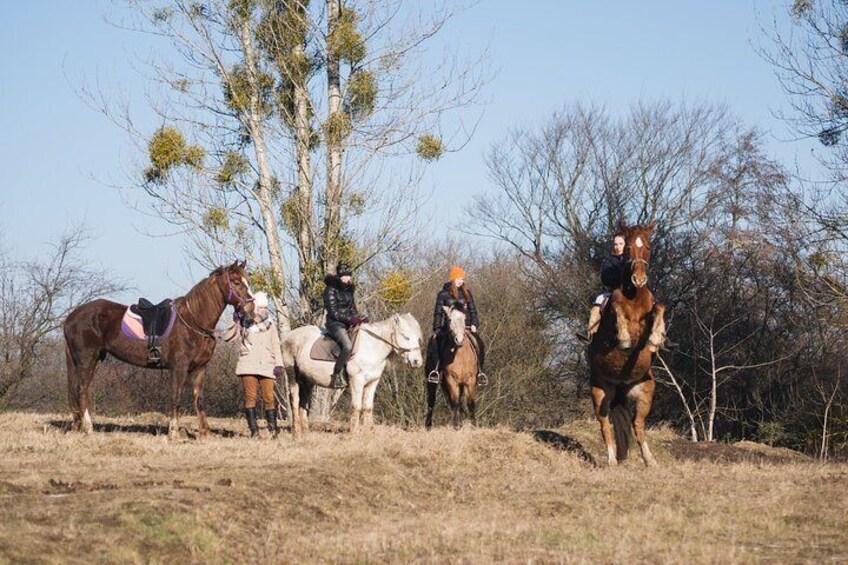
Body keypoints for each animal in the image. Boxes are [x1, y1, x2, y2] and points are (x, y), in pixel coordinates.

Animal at [63, 260, 255, 436]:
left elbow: (198, 398)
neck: (194, 321)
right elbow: (176, 397)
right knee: (82, 390)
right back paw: (88, 428)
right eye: (236, 282)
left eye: (247, 280)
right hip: (87, 360)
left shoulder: (200, 368)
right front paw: (174, 432)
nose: (251, 309)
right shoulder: (179, 368)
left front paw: (205, 432)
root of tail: (70, 318)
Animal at [282, 310, 424, 434]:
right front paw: (355, 434)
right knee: (294, 400)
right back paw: (297, 433)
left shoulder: (373, 382)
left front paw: (368, 434)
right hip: (292, 374)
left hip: (308, 379)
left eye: (417, 337)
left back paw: (306, 432)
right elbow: (356, 407)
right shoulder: (357, 381)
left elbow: (368, 408)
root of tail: (289, 336)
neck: (371, 347)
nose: (417, 361)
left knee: (303, 402)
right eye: (406, 337)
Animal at [588, 221, 664, 468]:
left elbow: (660, 308)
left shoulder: (651, 310)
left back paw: (650, 460)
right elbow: (617, 308)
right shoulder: (615, 311)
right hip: (600, 391)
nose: (639, 279)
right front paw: (624, 338)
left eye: (648, 246)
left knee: (637, 425)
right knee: (604, 425)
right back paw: (612, 460)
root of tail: (621, 384)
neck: (634, 295)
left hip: (645, 390)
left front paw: (656, 338)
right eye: (628, 248)